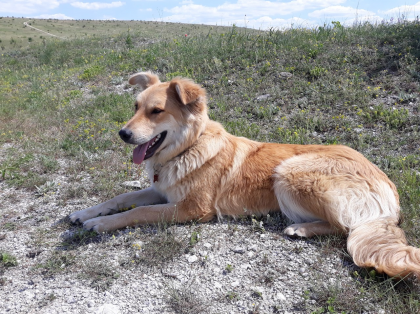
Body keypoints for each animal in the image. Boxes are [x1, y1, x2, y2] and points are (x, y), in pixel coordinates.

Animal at [69, 71, 420, 278]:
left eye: (156, 111)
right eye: (135, 106)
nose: (123, 134)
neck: (187, 148)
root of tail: (387, 185)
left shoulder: (193, 208)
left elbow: (138, 211)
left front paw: (100, 224)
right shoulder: (162, 190)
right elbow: (124, 197)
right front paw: (85, 212)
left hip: (289, 171)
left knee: (344, 227)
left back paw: (301, 229)